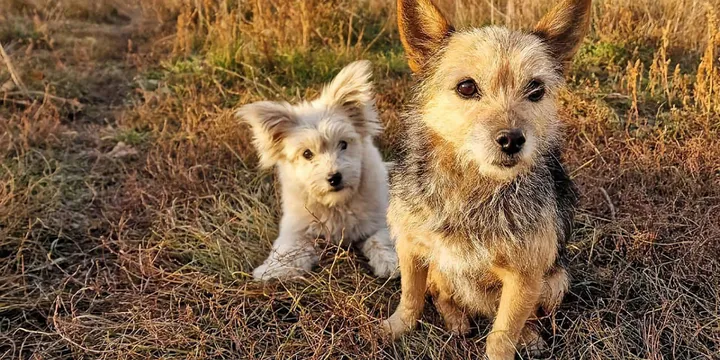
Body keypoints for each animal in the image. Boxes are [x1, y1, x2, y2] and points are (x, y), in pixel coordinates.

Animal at [236, 60, 400, 282]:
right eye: (307, 154)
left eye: (343, 144)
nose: (334, 177)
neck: (336, 204)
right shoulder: (296, 229)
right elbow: (289, 249)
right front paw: (273, 269)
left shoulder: (381, 217)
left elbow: (380, 239)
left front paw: (390, 263)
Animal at [382, 0, 592, 358]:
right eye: (466, 87)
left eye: (536, 89)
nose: (512, 140)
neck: (471, 188)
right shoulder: (410, 247)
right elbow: (410, 296)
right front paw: (396, 327)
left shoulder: (525, 277)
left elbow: (502, 335)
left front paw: (510, 342)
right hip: (441, 269)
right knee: (441, 294)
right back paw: (456, 319)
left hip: (556, 280)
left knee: (528, 315)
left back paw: (529, 335)